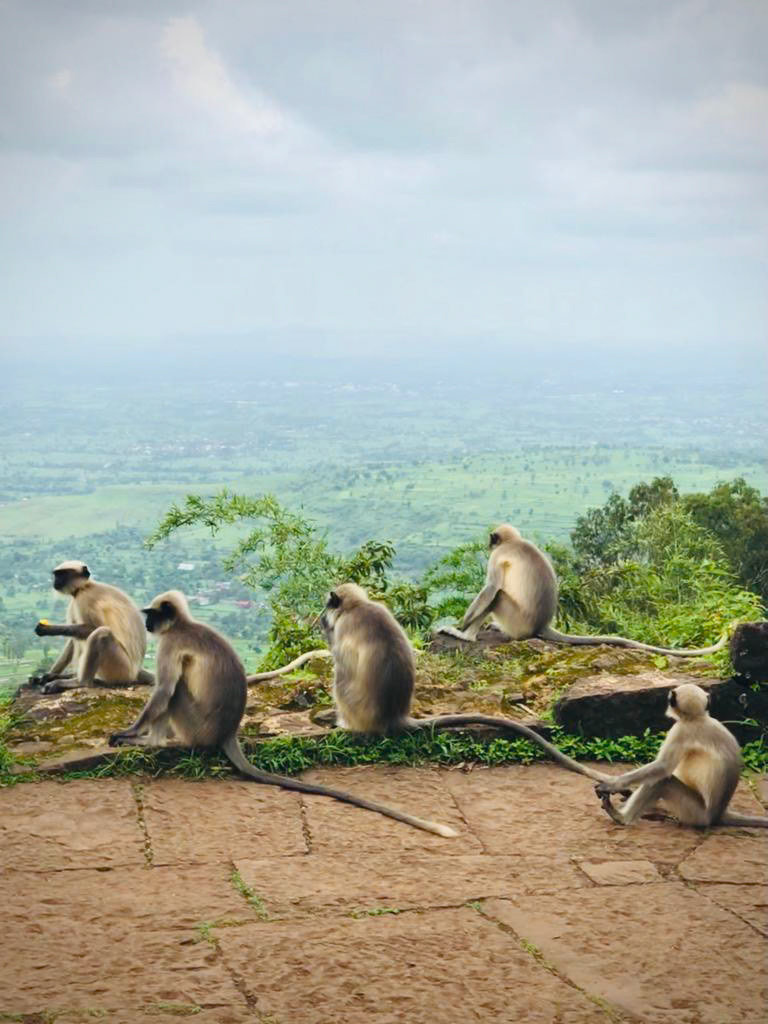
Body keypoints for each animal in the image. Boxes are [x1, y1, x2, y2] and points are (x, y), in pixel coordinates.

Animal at [30, 561, 153, 694]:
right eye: (56, 575)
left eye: (62, 574)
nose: (56, 581)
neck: (85, 587)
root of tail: (136, 670)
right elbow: (73, 639)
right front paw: (49, 675)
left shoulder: (85, 599)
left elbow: (92, 628)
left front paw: (49, 629)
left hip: (123, 669)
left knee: (101, 633)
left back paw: (80, 682)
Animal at [107, 590, 457, 838]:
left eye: (151, 615)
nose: (148, 625)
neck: (183, 625)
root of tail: (228, 732)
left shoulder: (169, 645)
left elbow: (164, 690)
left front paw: (127, 733)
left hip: (194, 725)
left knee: (175, 691)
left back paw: (151, 742)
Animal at [319, 583, 612, 784]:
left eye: (328, 607)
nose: (322, 619)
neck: (356, 607)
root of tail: (394, 715)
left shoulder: (345, 628)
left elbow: (343, 672)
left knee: (341, 683)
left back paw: (345, 723)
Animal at [438, 524, 727, 657]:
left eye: (492, 541)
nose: (488, 543)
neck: (515, 542)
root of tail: (540, 625)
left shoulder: (498, 557)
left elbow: (491, 588)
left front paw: (460, 626)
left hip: (517, 620)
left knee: (497, 595)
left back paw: (467, 636)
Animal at [594, 683, 768, 828]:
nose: (667, 699)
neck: (697, 718)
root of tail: (717, 815)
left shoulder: (681, 730)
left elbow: (663, 767)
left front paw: (612, 784)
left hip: (695, 814)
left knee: (663, 780)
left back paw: (621, 818)